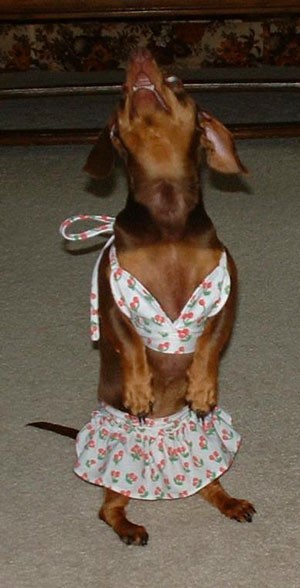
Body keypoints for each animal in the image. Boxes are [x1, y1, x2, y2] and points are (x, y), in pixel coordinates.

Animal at [81, 48, 253, 544]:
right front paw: (140, 390)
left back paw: (229, 501)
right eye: (120, 91)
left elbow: (210, 342)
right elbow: (133, 343)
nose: (139, 57)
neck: (167, 216)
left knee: (208, 485)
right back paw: (127, 526)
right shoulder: (113, 296)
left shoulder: (226, 292)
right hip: (115, 482)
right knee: (108, 508)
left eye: (176, 81)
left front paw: (202, 385)